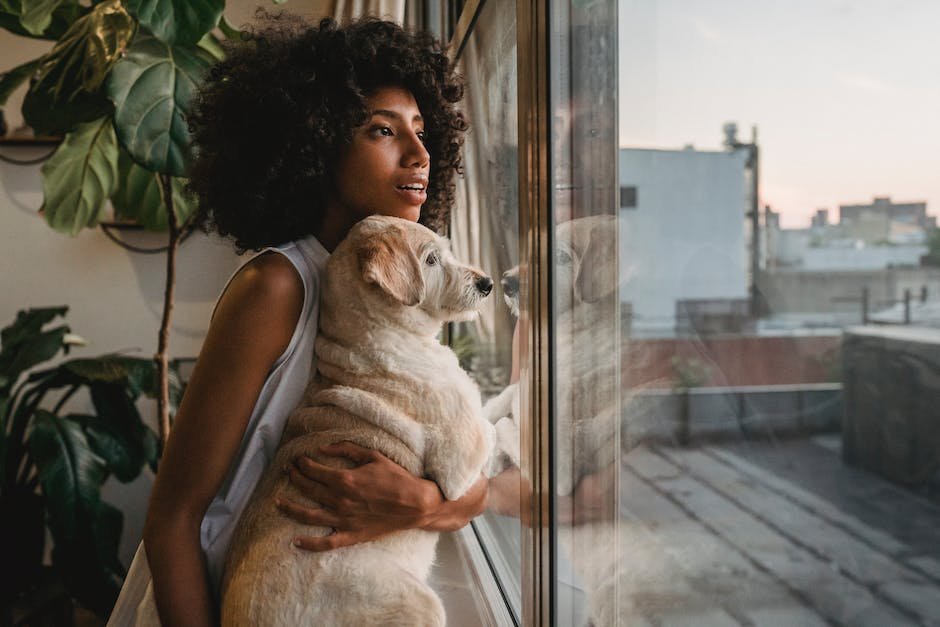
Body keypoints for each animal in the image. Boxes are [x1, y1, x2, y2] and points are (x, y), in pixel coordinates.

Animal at [223, 217, 496, 627]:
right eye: (431, 260)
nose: (487, 283)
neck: (380, 334)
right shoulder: (460, 462)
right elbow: (497, 427)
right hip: (416, 602)